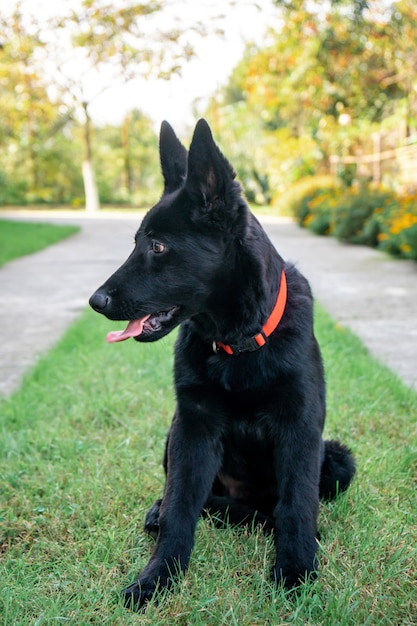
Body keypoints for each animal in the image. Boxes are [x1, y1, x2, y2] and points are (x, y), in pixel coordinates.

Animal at [88, 119, 354, 608]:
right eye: (136, 242)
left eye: (158, 247)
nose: (96, 301)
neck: (236, 344)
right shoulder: (193, 427)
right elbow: (179, 510)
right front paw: (156, 578)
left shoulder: (301, 427)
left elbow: (296, 505)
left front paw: (295, 570)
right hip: (172, 436)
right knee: (199, 503)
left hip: (338, 457)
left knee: (279, 505)